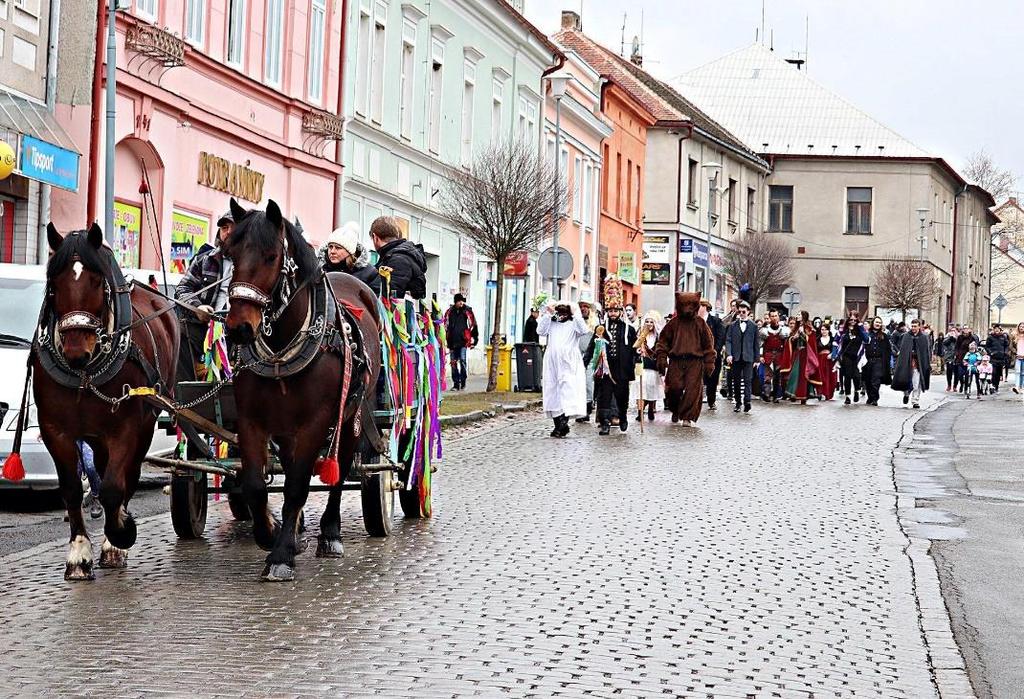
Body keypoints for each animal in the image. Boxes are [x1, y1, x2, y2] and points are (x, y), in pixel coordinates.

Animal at [33, 224, 178, 581]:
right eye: (53, 284)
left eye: (98, 281)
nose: (76, 351)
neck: (85, 372)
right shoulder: (55, 430)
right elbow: (71, 487)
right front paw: (78, 554)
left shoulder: (126, 426)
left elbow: (114, 486)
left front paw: (120, 535)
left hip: (146, 422)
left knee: (130, 474)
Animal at [223, 199, 380, 581]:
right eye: (230, 253)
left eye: (270, 256)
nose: (239, 329)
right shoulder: (253, 421)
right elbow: (255, 484)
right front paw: (272, 533)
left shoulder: (316, 421)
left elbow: (297, 485)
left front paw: (281, 555)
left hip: (351, 416)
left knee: (339, 471)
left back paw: (330, 533)